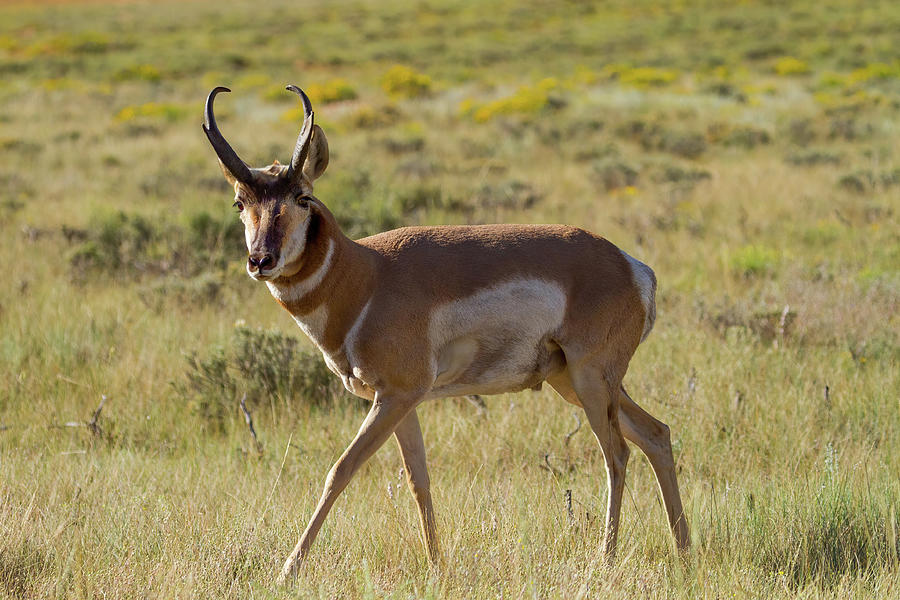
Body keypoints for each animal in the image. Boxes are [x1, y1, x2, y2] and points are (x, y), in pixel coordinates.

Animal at [204, 85, 692, 580]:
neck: (366, 276)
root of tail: (632, 266)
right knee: (656, 433)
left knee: (617, 453)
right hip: (573, 382)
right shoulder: (399, 402)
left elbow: (340, 470)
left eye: (302, 196)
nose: (260, 260)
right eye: (240, 202)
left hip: (591, 382)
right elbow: (418, 480)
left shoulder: (397, 396)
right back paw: (684, 551)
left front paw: (288, 569)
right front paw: (437, 565)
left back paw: (605, 556)